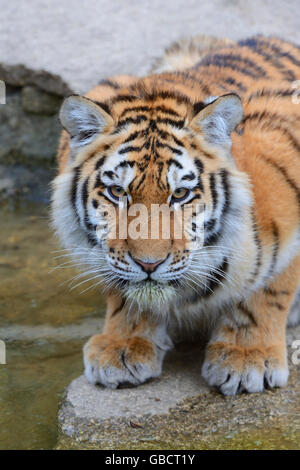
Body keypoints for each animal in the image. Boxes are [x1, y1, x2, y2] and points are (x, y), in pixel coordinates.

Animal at [51, 35, 300, 396]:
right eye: (118, 192)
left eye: (180, 194)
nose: (149, 265)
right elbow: (122, 289)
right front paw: (123, 344)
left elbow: (269, 289)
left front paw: (246, 357)